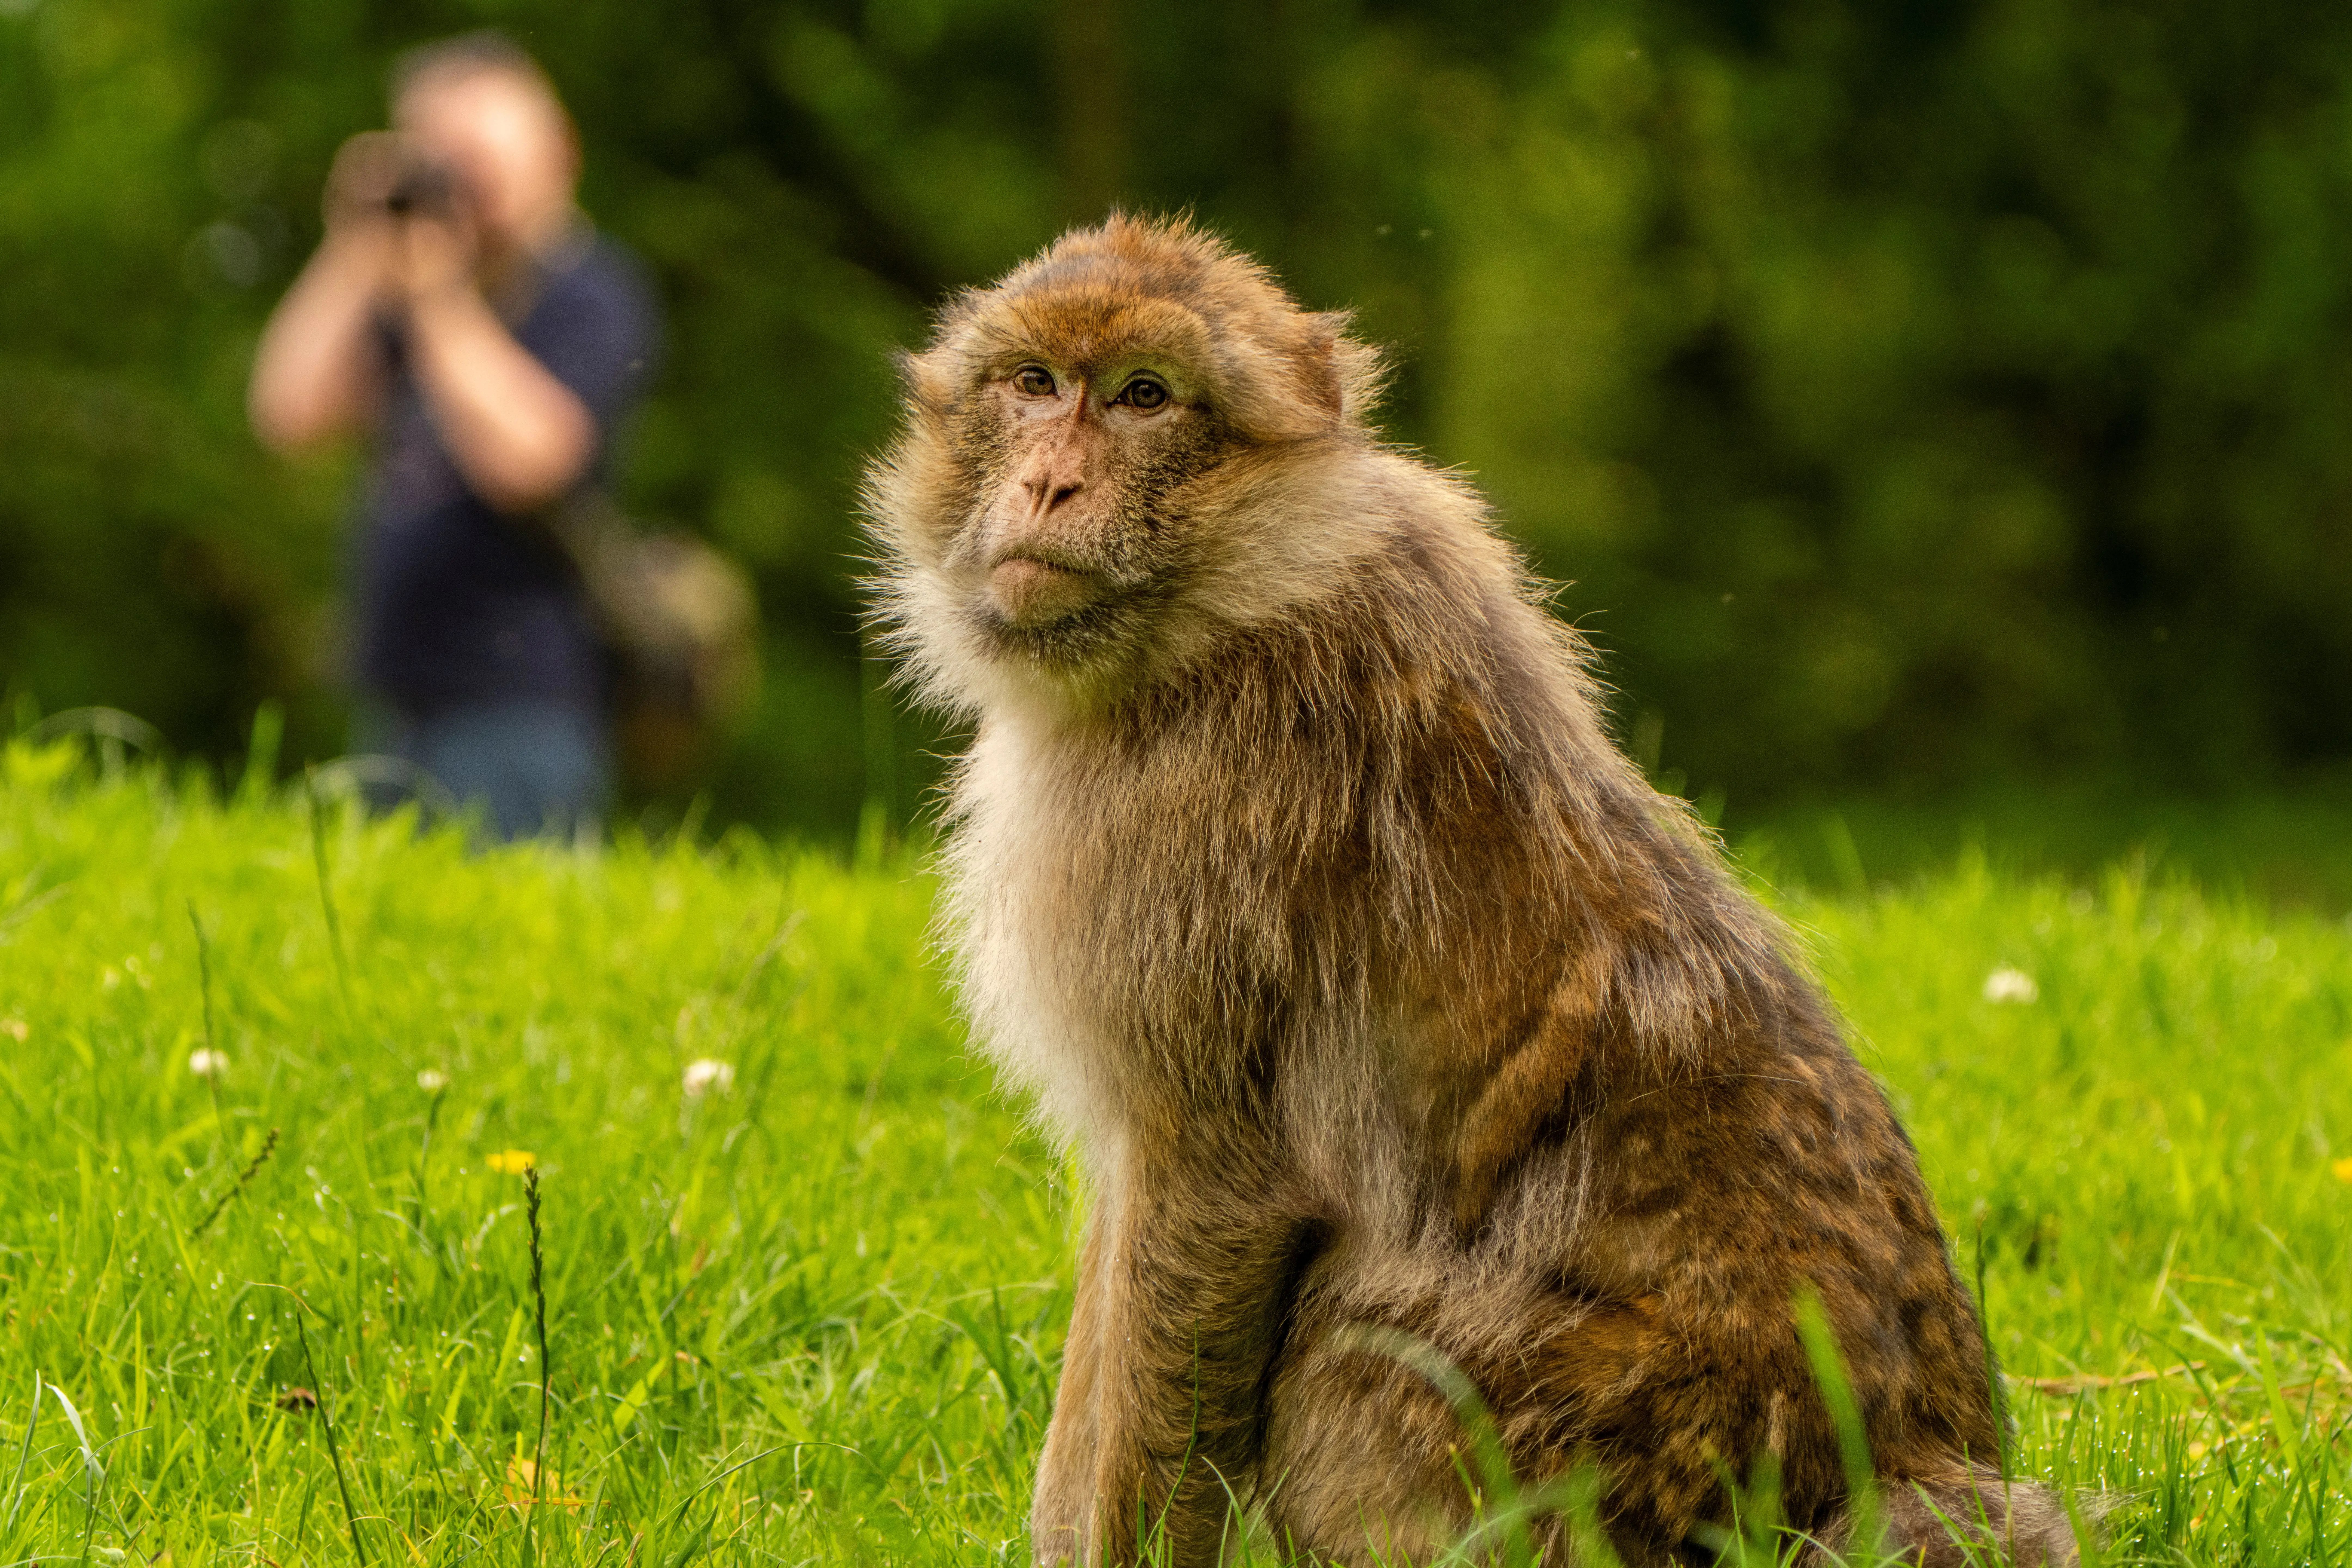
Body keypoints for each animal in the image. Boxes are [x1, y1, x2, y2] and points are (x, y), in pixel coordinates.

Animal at [864, 215, 2087, 1567]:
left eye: (1142, 397)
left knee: (1354, 1344)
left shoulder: (1182, 848)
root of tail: (1912, 1460)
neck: (1231, 596)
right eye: (1033, 385)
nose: (1049, 487)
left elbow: (1214, 1190)